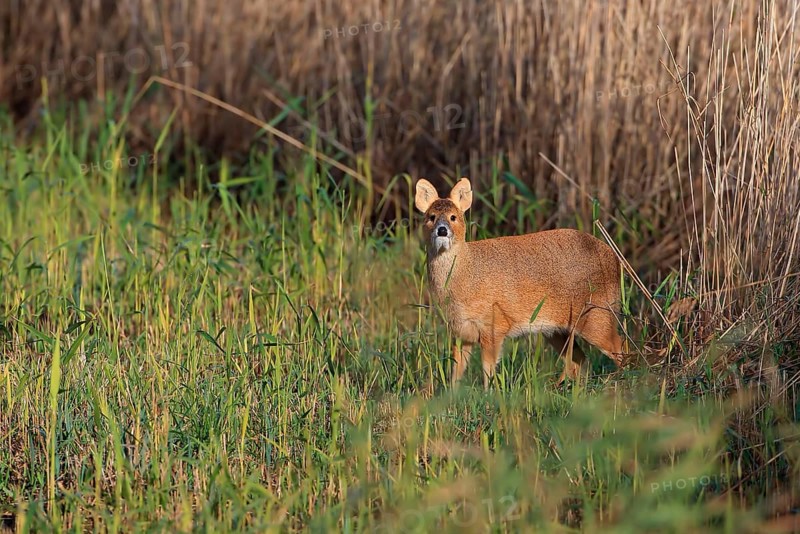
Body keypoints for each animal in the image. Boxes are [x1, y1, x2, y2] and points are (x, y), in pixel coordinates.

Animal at [415, 177, 625, 388]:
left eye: (453, 217)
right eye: (431, 217)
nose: (442, 230)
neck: (466, 276)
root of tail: (615, 259)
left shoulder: (495, 324)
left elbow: (488, 370)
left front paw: (489, 393)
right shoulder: (459, 332)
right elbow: (455, 372)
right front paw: (451, 393)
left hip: (597, 314)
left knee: (621, 349)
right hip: (557, 329)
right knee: (580, 360)